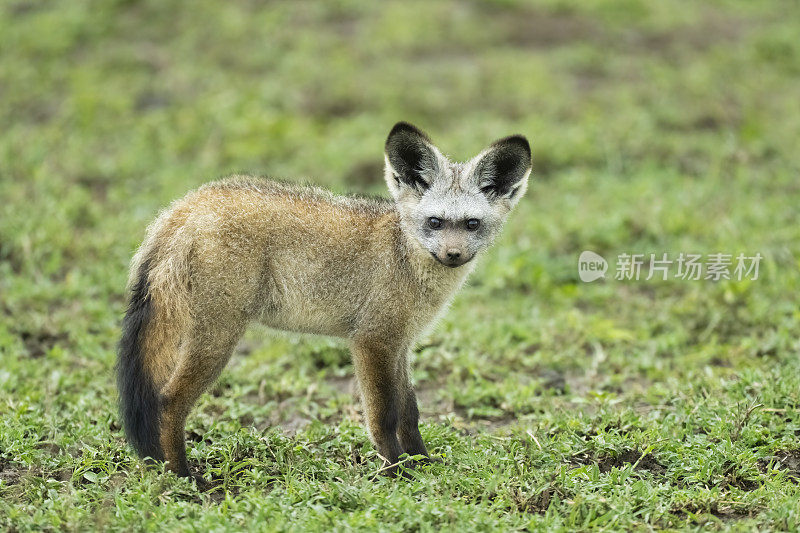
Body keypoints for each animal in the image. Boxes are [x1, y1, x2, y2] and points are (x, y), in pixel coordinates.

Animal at [117, 121, 532, 478]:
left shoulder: (399, 344)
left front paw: (422, 462)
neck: (404, 256)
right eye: (435, 222)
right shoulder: (371, 341)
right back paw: (184, 477)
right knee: (169, 401)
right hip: (217, 341)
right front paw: (397, 470)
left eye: (471, 224)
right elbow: (384, 417)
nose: (453, 255)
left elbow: (410, 412)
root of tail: (185, 205)